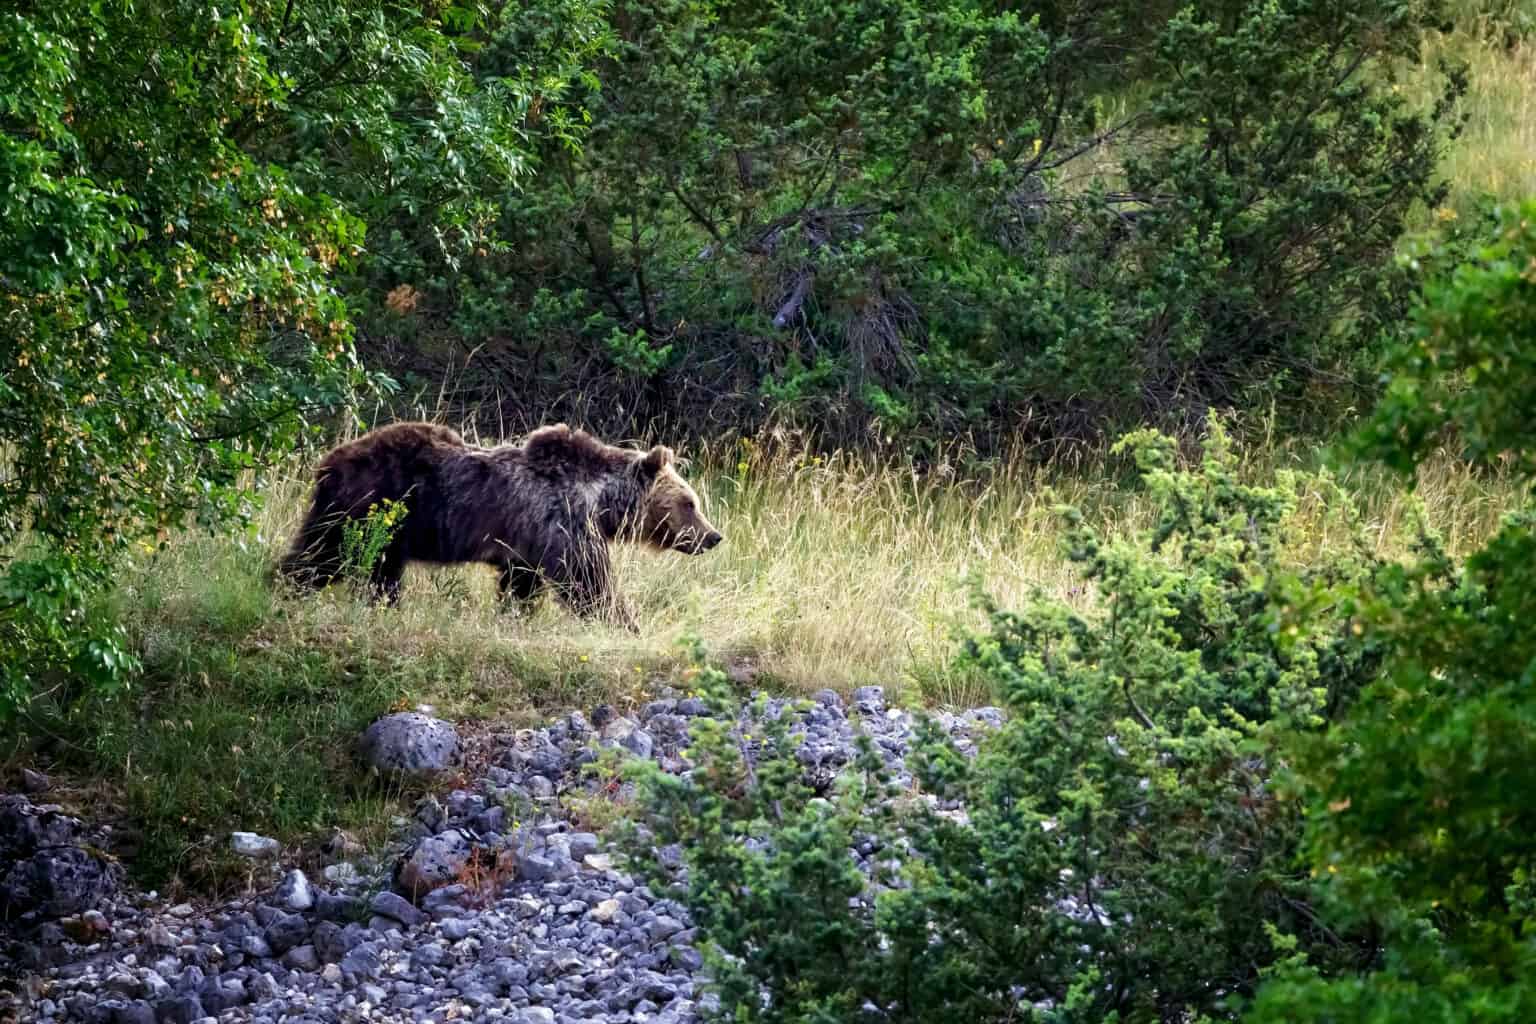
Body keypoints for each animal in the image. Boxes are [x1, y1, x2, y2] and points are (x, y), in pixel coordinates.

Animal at [279, 423, 721, 629]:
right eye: (689, 502)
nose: (714, 536)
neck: (601, 503)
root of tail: (327, 463)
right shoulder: (562, 524)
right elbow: (588, 582)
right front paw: (625, 623)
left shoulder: (527, 547)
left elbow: (521, 586)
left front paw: (514, 616)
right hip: (370, 510)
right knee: (324, 555)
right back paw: (285, 587)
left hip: (385, 531)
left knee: (372, 570)